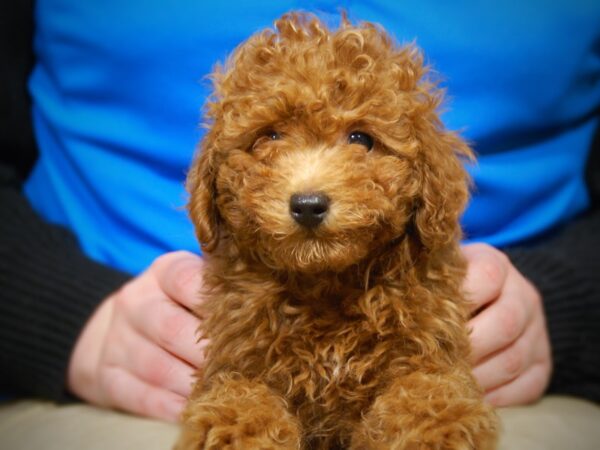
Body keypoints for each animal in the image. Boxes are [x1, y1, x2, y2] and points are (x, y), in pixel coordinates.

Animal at [176, 12, 500, 448]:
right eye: (268, 136)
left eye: (361, 138)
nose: (308, 205)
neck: (326, 287)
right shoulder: (236, 359)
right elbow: (238, 404)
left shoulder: (428, 350)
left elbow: (428, 398)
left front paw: (431, 434)